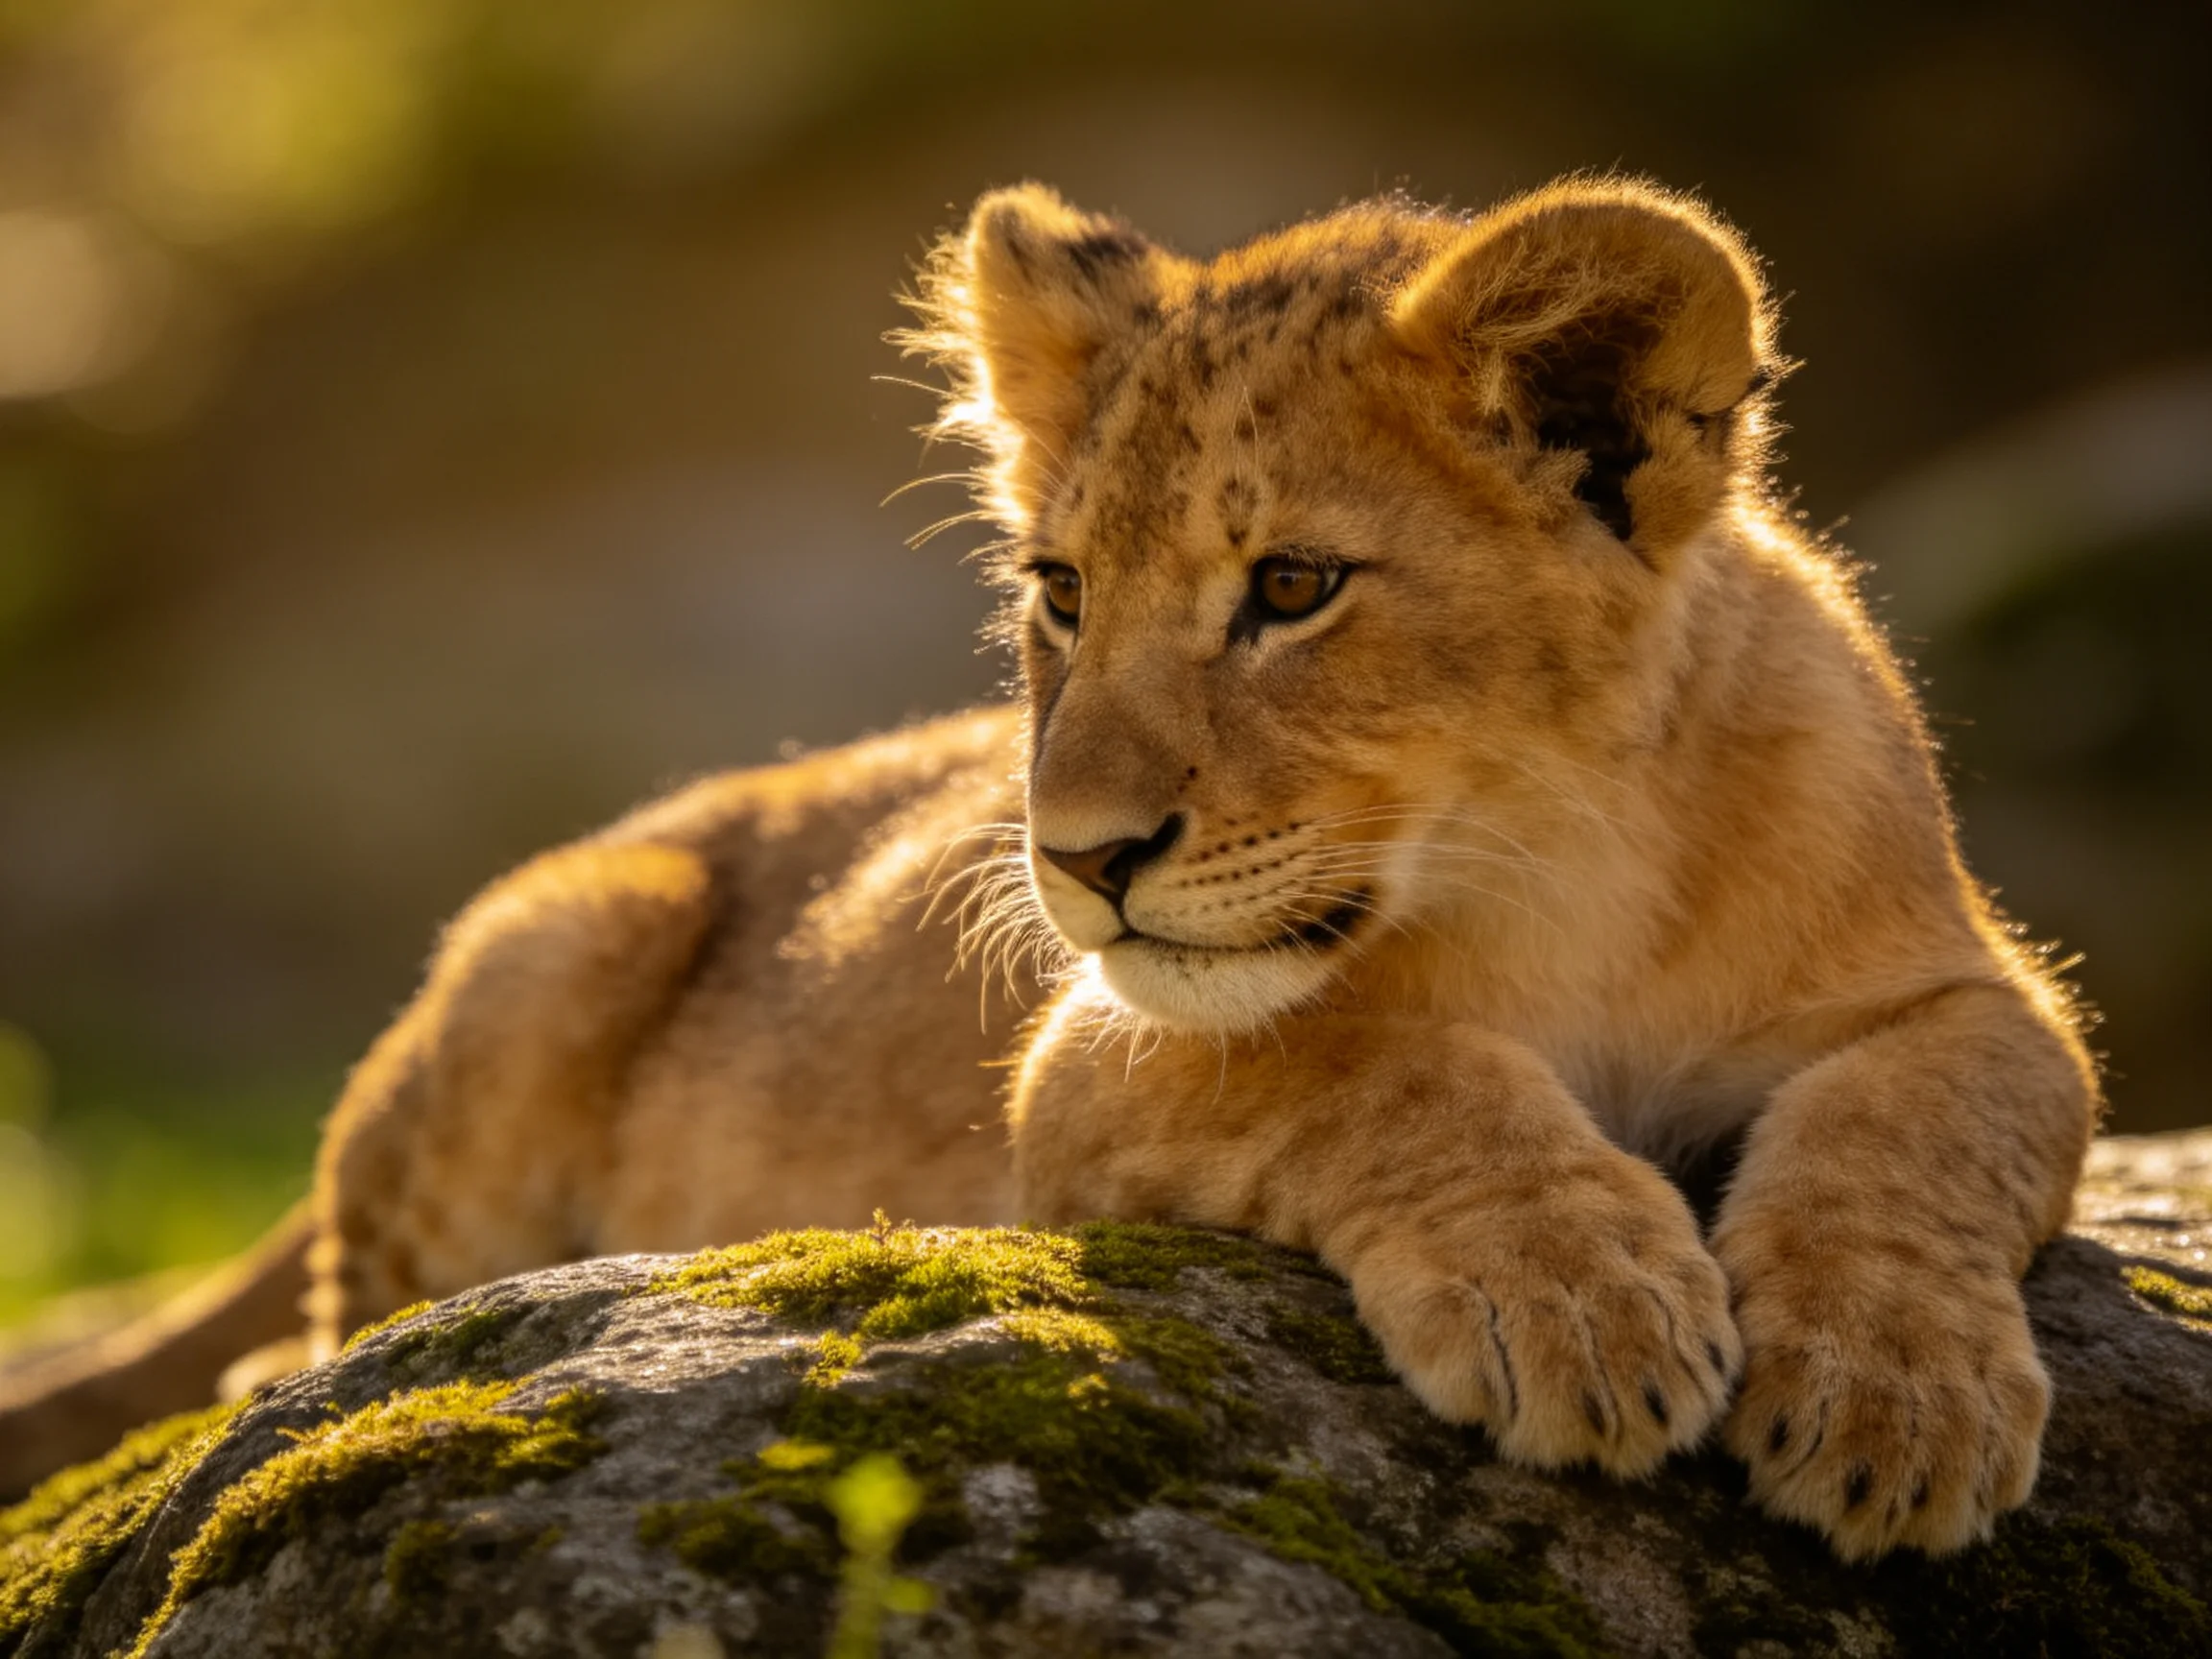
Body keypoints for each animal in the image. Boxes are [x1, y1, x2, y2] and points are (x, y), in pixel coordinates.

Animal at [0, 177, 2097, 1563]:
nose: (1078, 862)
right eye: (1063, 593)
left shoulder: (1981, 990)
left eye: (1293, 586)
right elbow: (1389, 1067)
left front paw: (1895, 1399)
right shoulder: (1092, 1057)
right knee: (316, 1335)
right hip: (565, 940)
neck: (1567, 865)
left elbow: (1922, 1123)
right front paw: (1581, 1303)